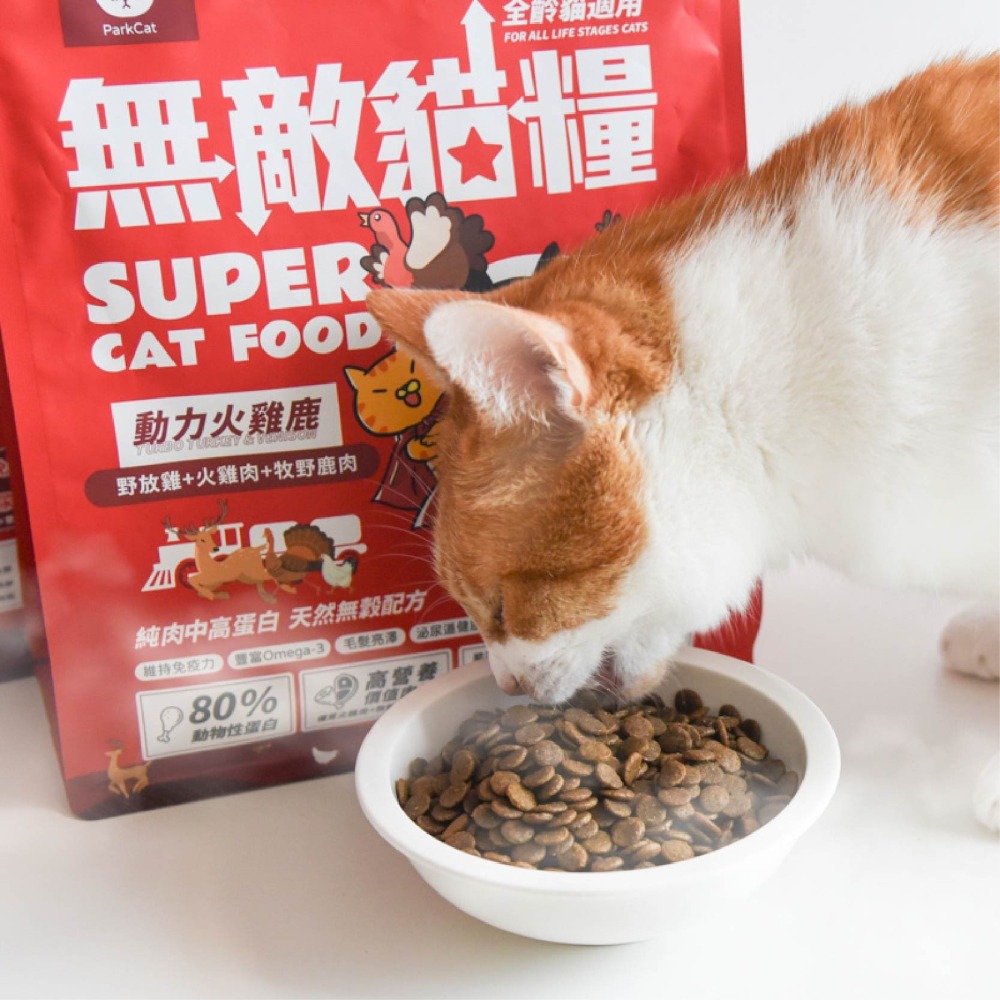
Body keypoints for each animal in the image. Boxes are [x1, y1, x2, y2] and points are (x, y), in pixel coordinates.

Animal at [163, 500, 296, 604]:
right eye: (202, 539)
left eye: (210, 536)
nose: (215, 548)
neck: (206, 566)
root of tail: (256, 548)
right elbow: (197, 587)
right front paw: (219, 594)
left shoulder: (213, 577)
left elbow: (192, 580)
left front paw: (215, 595)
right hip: (245, 576)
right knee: (262, 580)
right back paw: (268, 597)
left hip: (253, 571)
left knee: (271, 575)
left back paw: (288, 589)